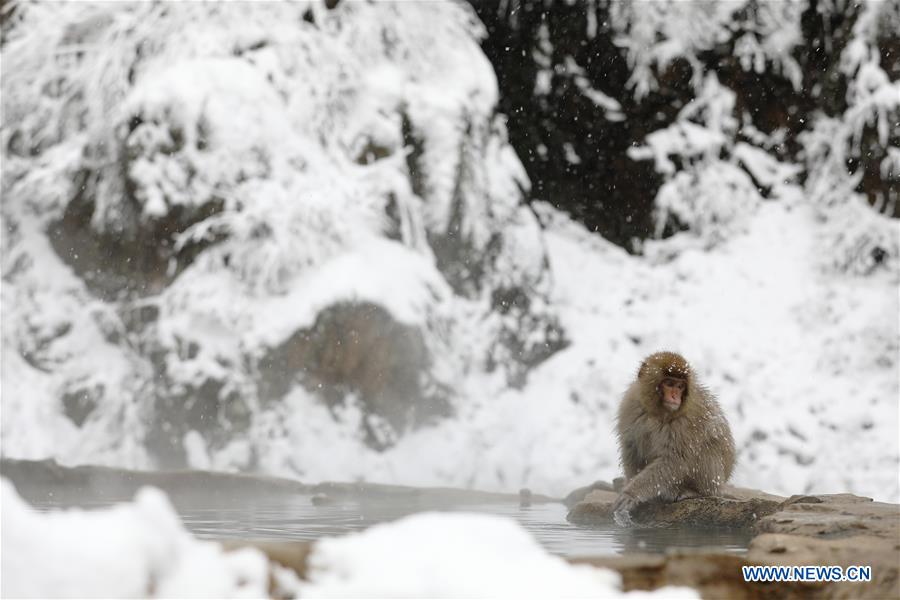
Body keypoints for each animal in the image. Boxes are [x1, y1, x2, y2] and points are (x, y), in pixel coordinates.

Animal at [612, 351, 735, 525]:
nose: (675, 396)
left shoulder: (685, 422)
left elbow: (674, 460)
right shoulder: (631, 405)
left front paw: (632, 493)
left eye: (680, 386)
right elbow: (631, 448)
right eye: (669, 383)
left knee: (706, 448)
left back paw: (693, 492)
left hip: (715, 478)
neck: (657, 413)